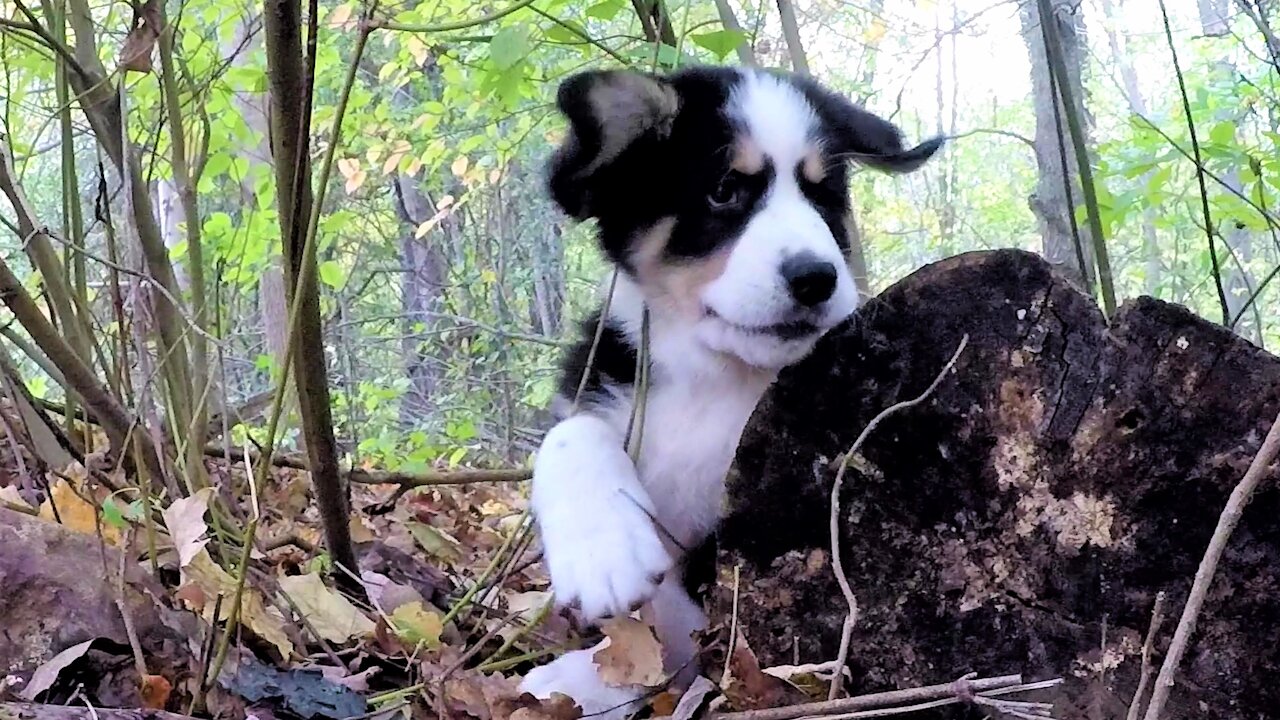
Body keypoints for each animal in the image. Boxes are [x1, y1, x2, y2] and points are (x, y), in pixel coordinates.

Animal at [519, 64, 942, 712]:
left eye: (824, 197)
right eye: (724, 190)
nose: (816, 278)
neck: (715, 376)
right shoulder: (611, 379)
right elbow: (568, 433)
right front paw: (603, 551)